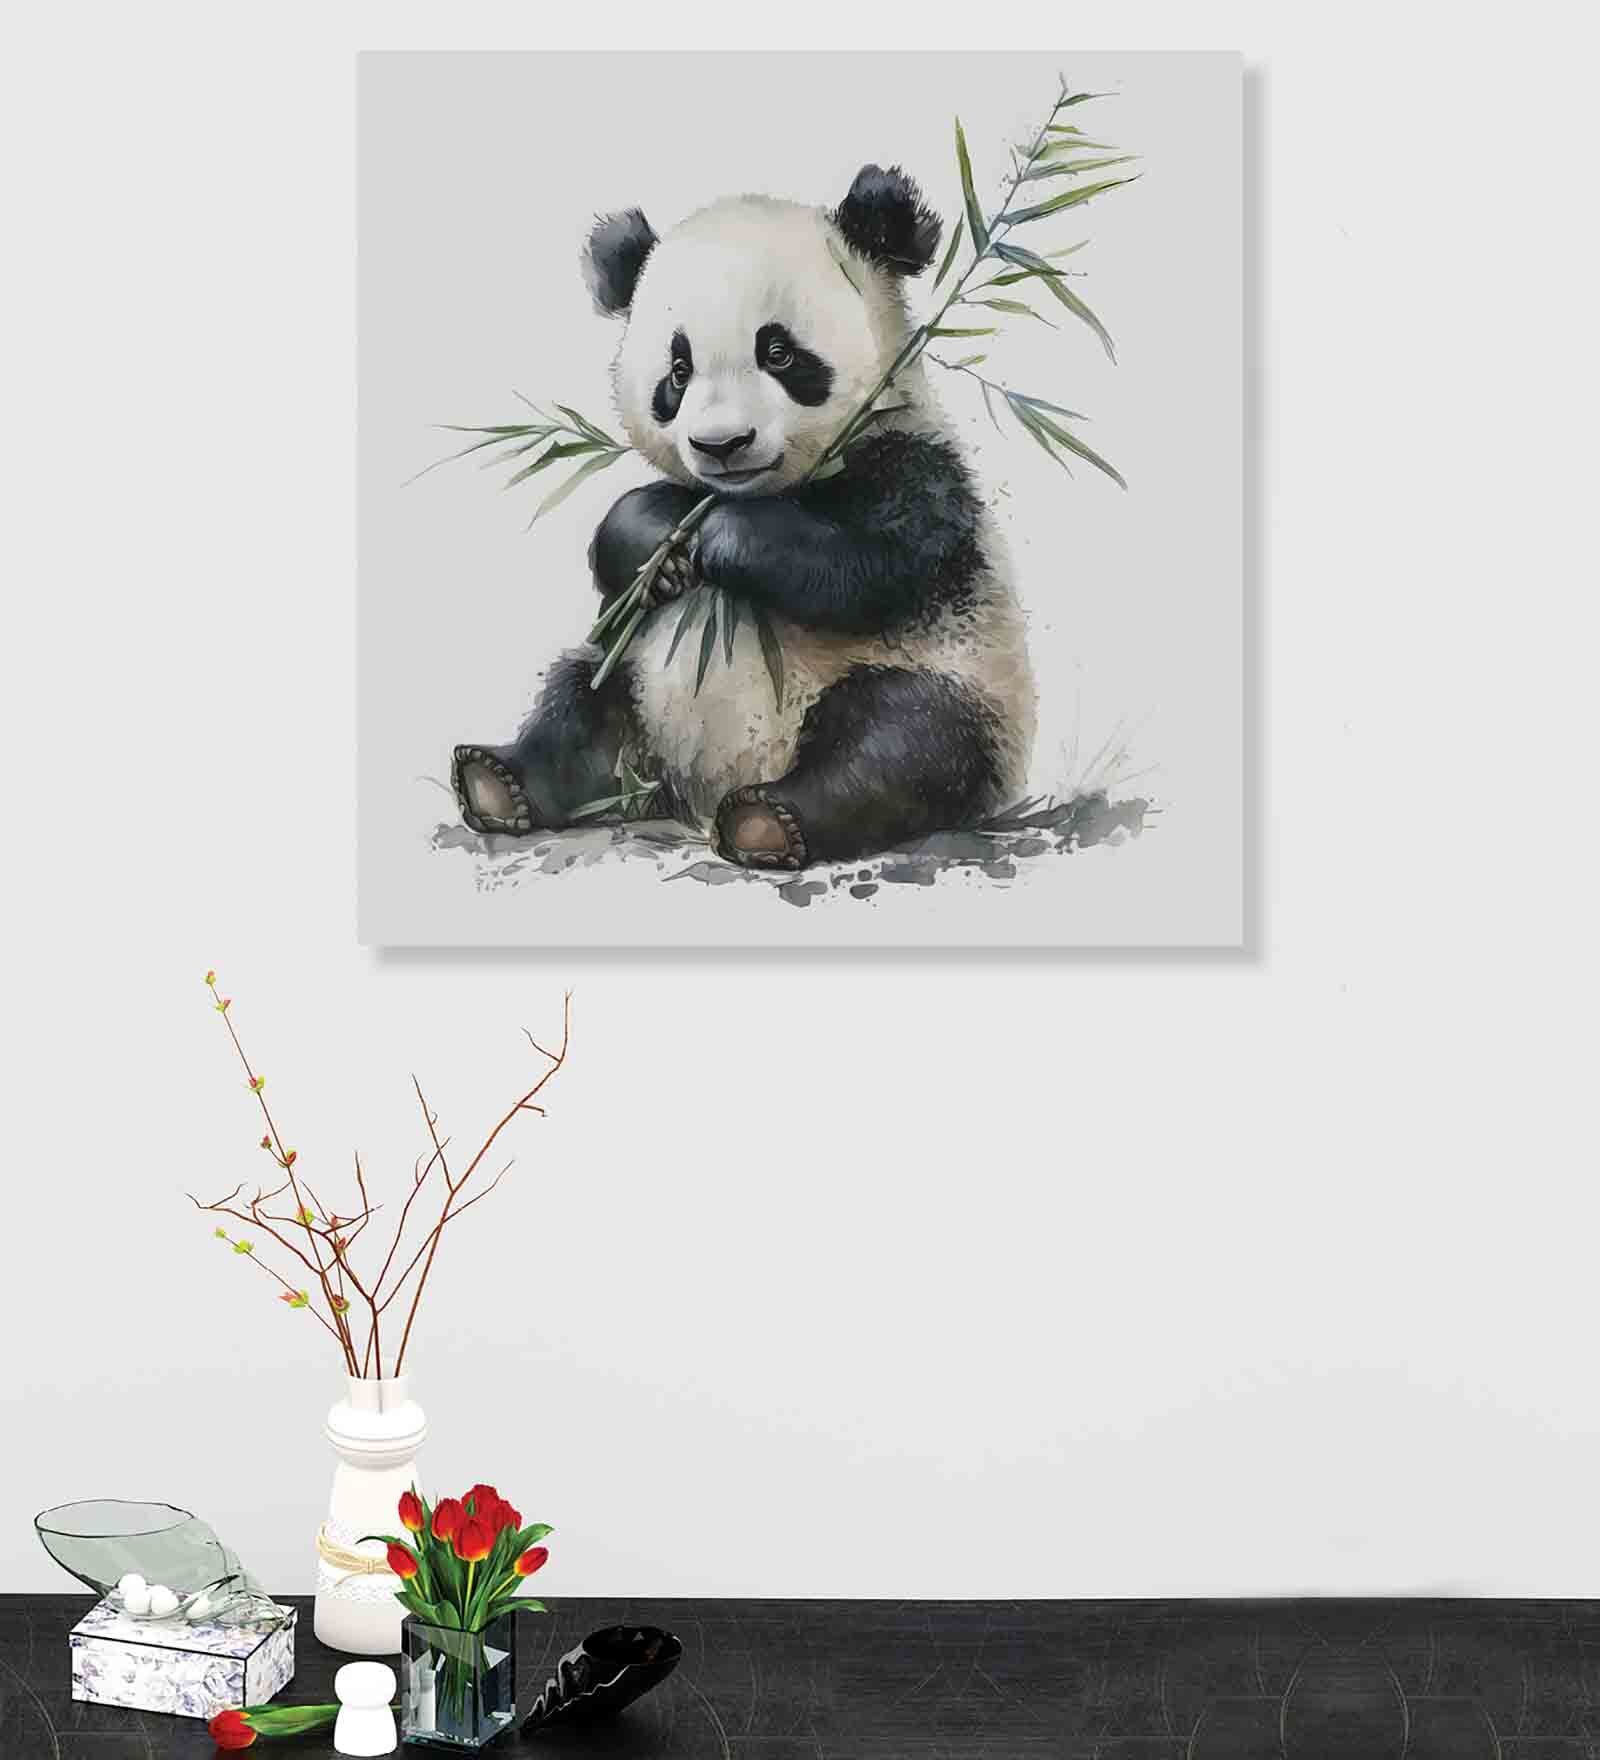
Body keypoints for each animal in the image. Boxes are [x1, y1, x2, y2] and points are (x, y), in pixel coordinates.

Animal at [452, 164, 1036, 871]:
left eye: (779, 354)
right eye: (678, 372)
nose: (721, 444)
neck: (761, 490)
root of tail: (706, 787)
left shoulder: (917, 466)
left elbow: (870, 566)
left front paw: (723, 538)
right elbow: (620, 555)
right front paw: (657, 542)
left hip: (953, 683)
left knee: (901, 741)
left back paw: (772, 820)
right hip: (633, 688)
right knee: (582, 706)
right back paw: (497, 780)